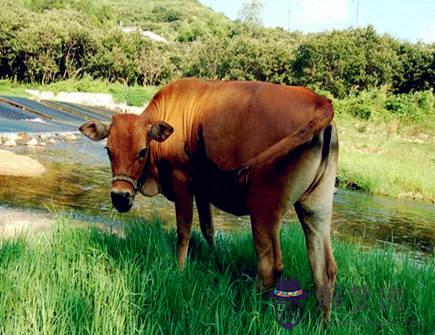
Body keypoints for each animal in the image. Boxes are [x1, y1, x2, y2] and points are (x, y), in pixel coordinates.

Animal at [80, 79, 338, 320]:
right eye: (108, 150)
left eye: (142, 151)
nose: (120, 197)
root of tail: (318, 100)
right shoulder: (202, 191)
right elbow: (208, 229)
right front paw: (216, 261)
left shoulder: (182, 181)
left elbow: (184, 229)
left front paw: (179, 269)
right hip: (316, 208)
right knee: (324, 269)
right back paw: (321, 321)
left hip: (264, 209)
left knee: (271, 267)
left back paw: (251, 309)